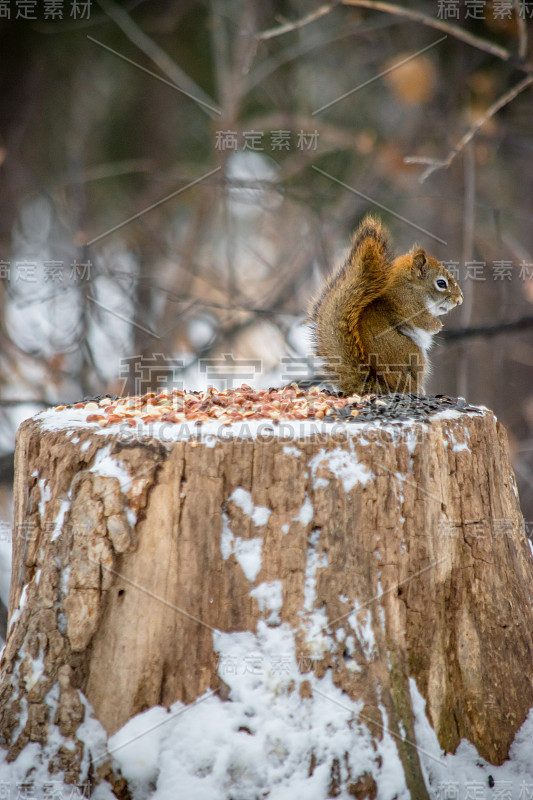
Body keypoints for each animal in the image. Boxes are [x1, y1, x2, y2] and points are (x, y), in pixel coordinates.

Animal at [310, 216, 464, 396]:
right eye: (441, 283)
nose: (459, 300)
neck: (410, 286)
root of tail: (381, 385)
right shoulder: (409, 306)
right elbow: (425, 322)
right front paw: (437, 325)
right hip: (413, 354)